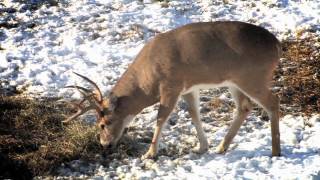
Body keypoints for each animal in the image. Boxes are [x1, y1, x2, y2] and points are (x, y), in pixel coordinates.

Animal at [64, 21, 280, 159]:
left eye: (103, 123)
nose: (105, 144)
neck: (147, 79)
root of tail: (277, 44)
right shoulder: (188, 88)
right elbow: (194, 114)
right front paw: (202, 147)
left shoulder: (170, 85)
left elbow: (161, 118)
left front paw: (149, 154)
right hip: (233, 82)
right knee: (245, 107)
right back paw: (221, 147)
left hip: (252, 77)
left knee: (273, 102)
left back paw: (275, 151)